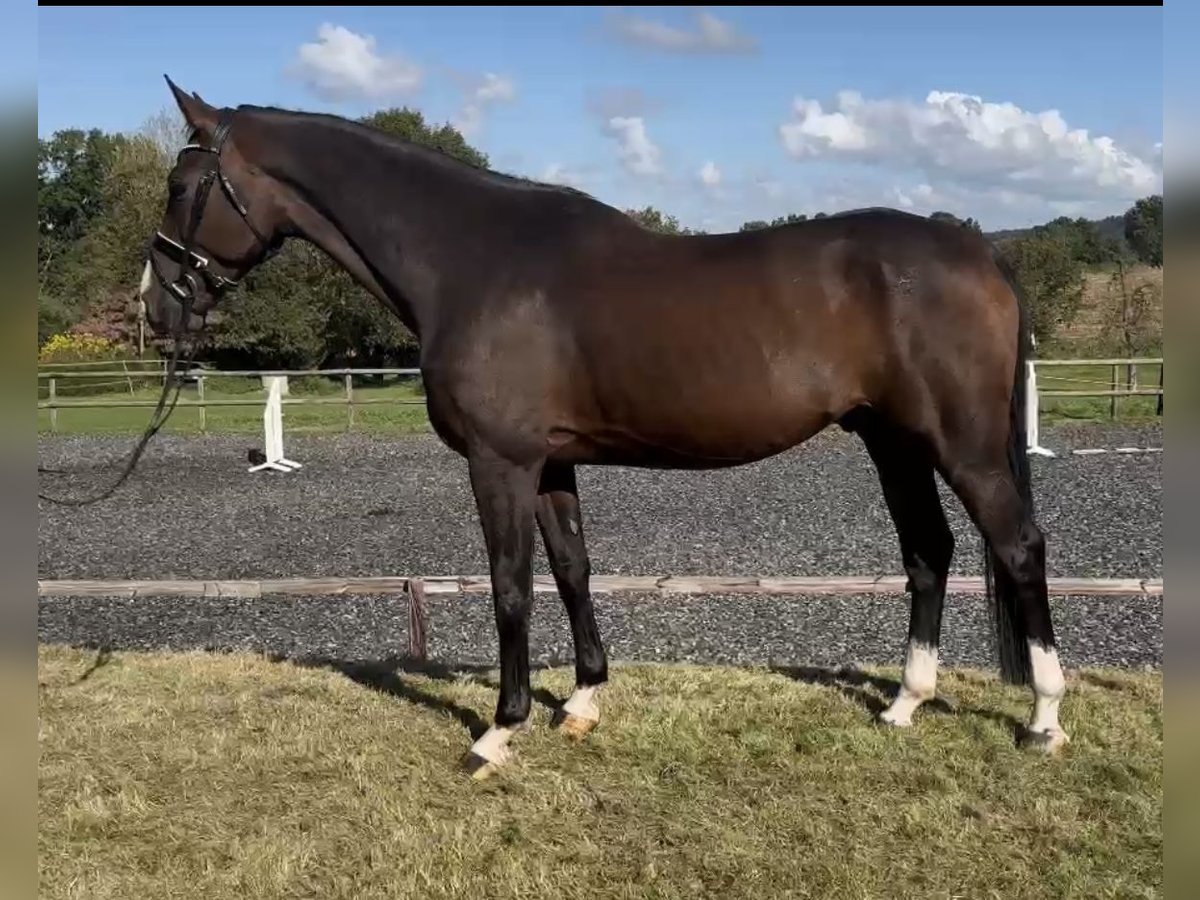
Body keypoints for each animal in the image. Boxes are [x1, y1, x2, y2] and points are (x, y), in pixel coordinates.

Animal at [138, 77, 1070, 777]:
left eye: (182, 189)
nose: (155, 309)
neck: (472, 258)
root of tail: (973, 245)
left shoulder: (500, 463)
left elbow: (511, 586)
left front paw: (498, 730)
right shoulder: (551, 465)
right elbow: (574, 570)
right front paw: (582, 702)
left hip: (962, 446)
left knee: (1018, 545)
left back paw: (1044, 717)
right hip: (893, 441)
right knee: (929, 552)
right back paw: (906, 703)